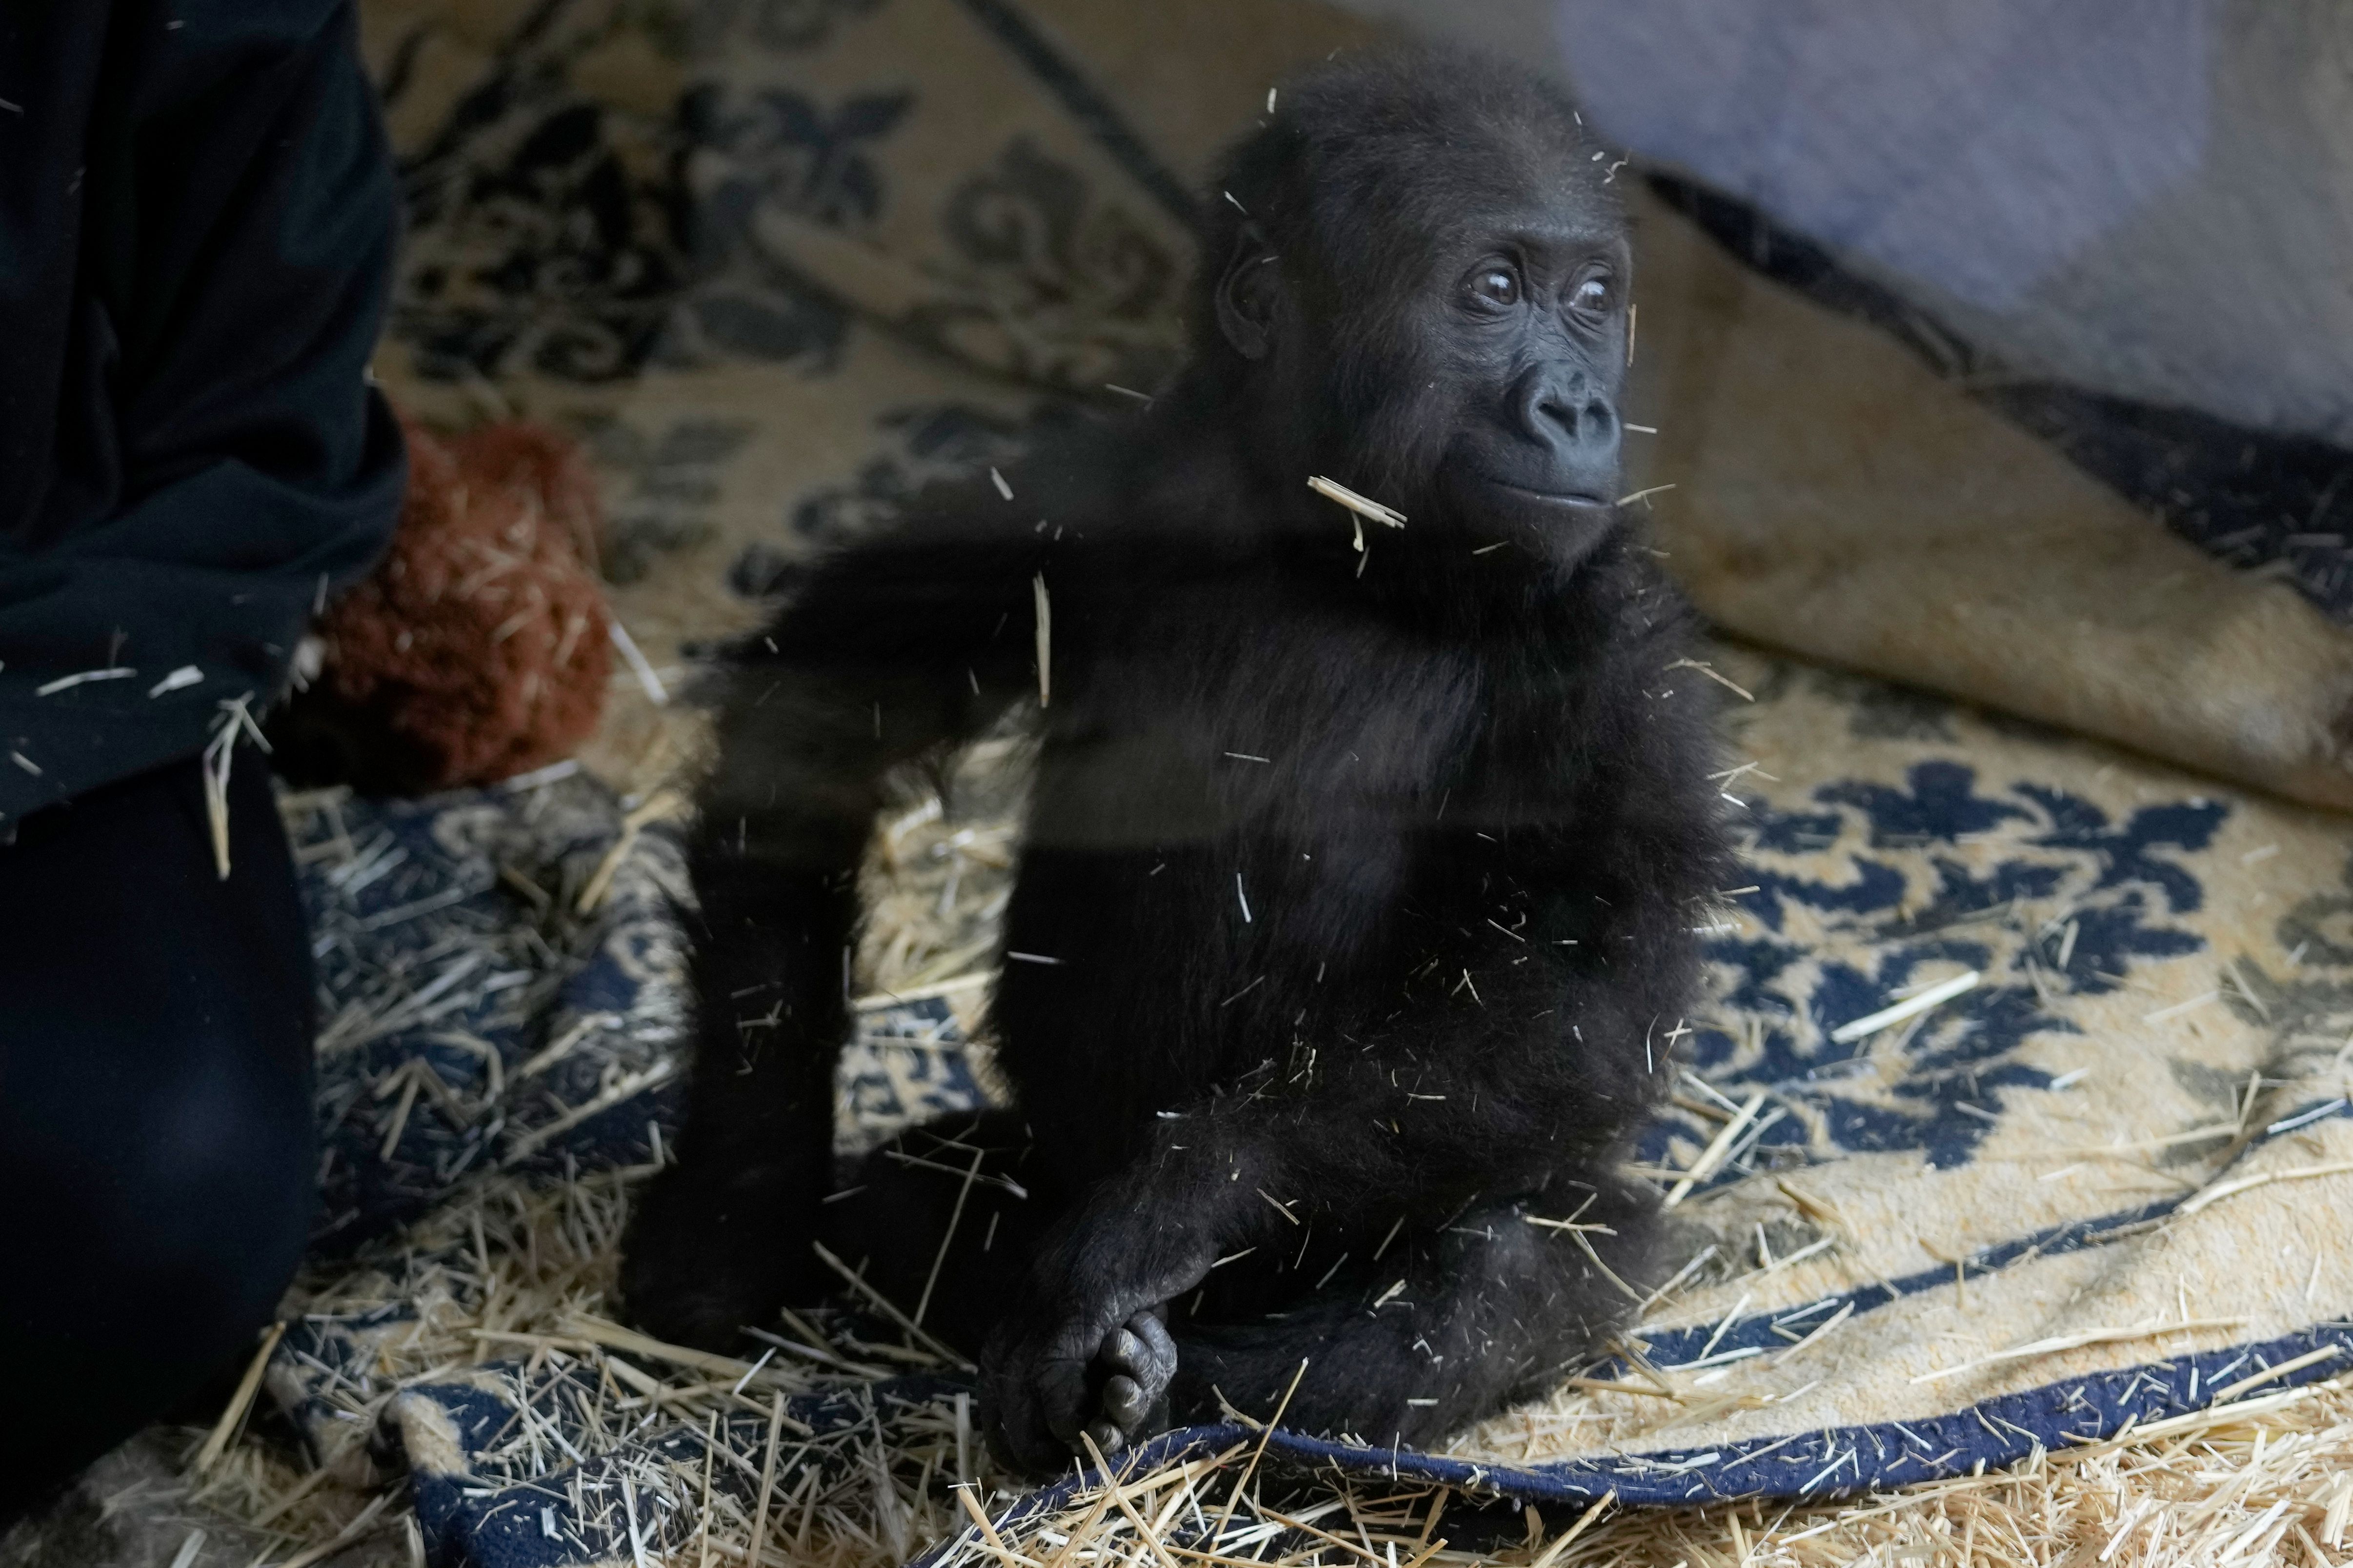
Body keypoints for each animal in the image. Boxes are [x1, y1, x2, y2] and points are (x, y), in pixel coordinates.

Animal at [619, 45, 1733, 1476]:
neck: (1334, 539)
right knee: (921, 1198)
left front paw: (1158, 1215)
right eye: (1493, 289)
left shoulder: (1618, 640)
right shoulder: (1079, 481)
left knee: (1501, 1271)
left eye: (1595, 301)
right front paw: (735, 1202)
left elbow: (1582, 986)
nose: (1578, 404)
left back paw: (1177, 1377)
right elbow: (820, 714)